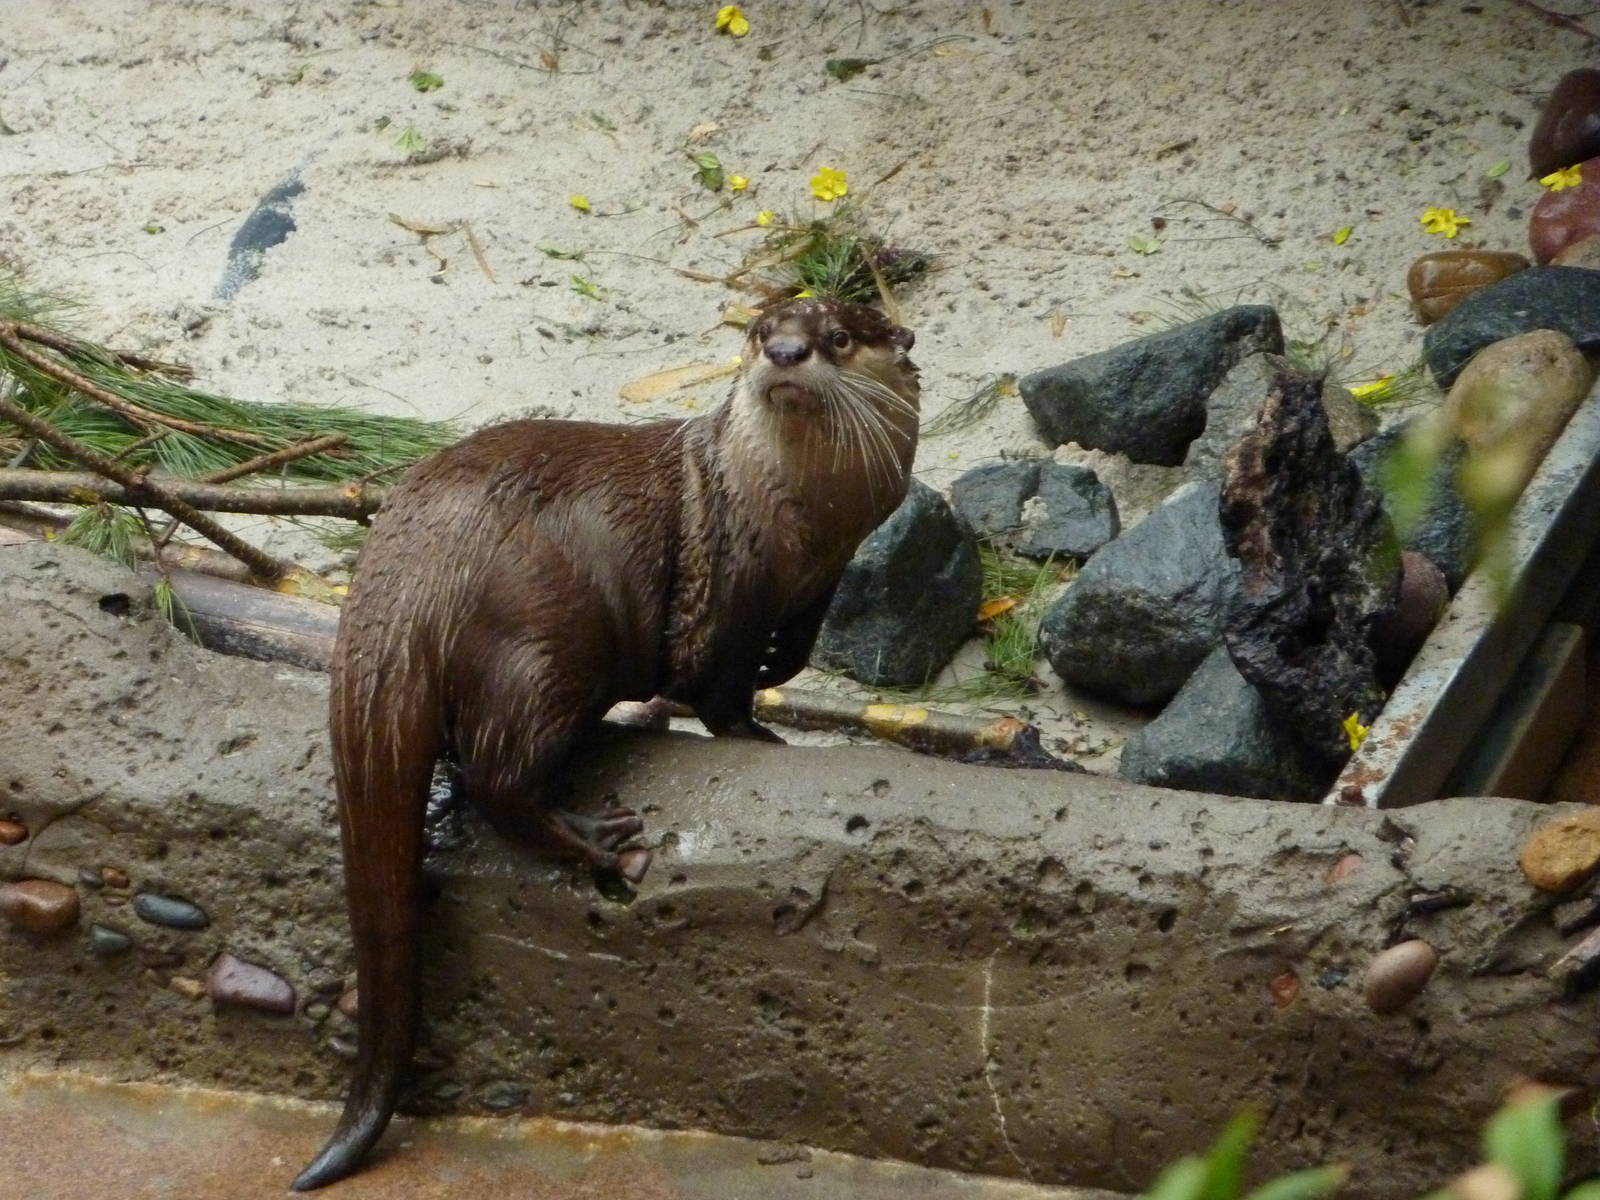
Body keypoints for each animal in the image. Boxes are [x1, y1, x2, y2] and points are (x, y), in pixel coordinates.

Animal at [292, 297, 920, 1190]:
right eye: (762, 331)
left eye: (837, 336)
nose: (787, 353)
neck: (802, 526)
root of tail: (403, 578)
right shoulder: (725, 589)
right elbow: (718, 688)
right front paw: (759, 735)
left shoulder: (823, 582)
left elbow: (797, 649)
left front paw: (782, 669)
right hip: (545, 641)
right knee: (497, 775)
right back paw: (598, 837)